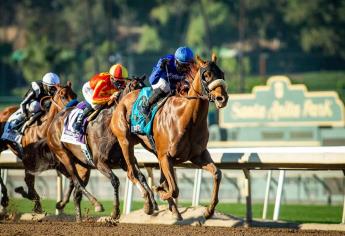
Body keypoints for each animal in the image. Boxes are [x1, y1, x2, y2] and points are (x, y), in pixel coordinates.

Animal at [111, 53, 228, 219]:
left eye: (222, 74)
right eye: (206, 75)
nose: (222, 98)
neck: (187, 118)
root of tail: (124, 98)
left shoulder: (198, 155)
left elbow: (217, 173)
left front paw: (209, 210)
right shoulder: (166, 156)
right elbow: (173, 189)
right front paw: (159, 191)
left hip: (153, 150)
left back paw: (173, 210)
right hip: (125, 142)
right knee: (131, 173)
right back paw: (149, 204)